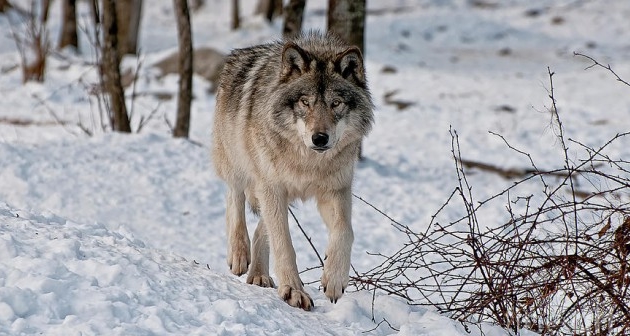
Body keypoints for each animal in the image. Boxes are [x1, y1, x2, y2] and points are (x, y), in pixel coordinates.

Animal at [212, 32, 376, 312]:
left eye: (336, 103)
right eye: (305, 102)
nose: (319, 138)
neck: (308, 162)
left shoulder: (335, 191)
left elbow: (345, 230)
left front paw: (334, 278)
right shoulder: (272, 187)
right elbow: (284, 244)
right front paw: (293, 291)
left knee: (262, 228)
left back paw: (259, 274)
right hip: (239, 165)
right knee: (234, 199)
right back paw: (239, 254)